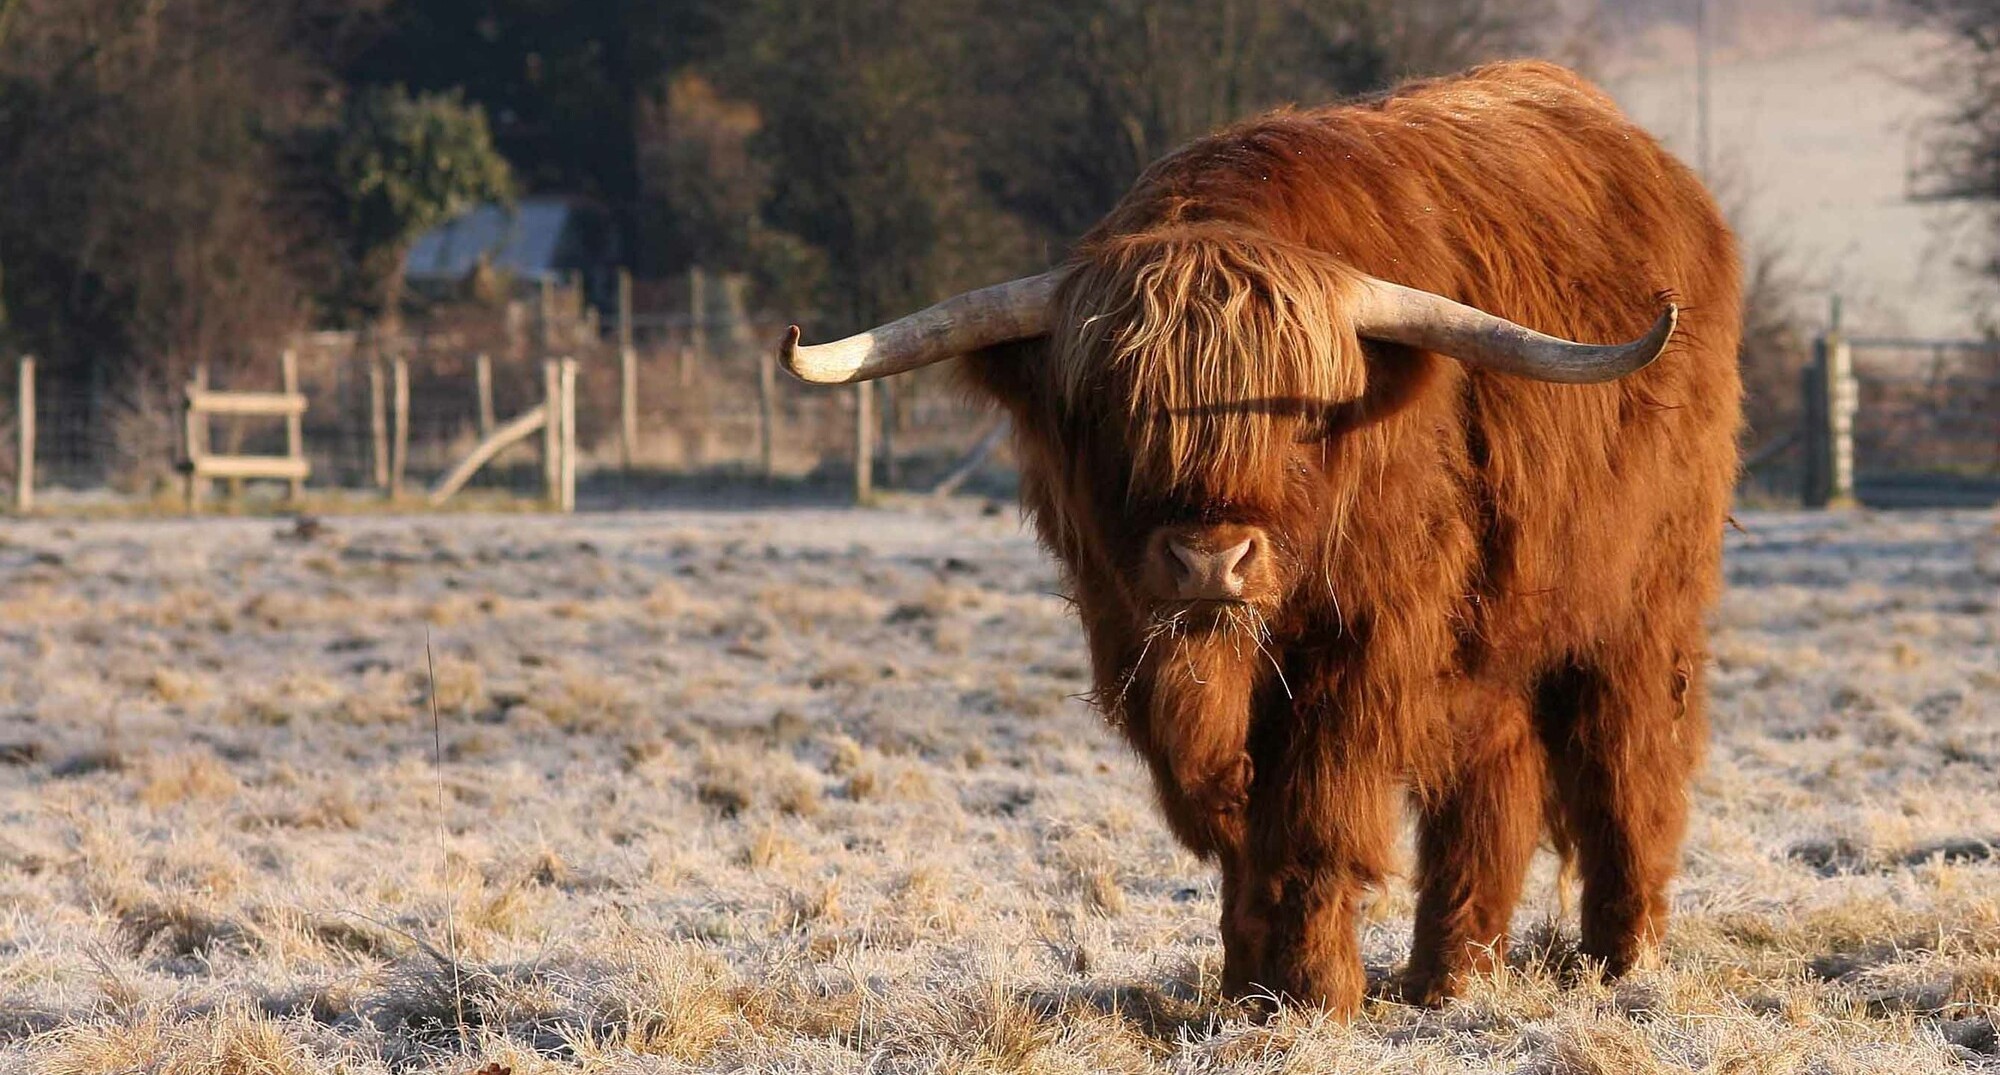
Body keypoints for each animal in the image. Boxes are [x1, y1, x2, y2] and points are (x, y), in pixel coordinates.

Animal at [776, 60, 1736, 1011]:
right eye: (1112, 414)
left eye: (1302, 416)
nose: (1211, 560)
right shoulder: (1132, 635)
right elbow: (1234, 824)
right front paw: (1245, 986)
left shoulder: (1368, 645)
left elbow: (1314, 814)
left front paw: (1315, 990)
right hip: (1494, 638)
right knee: (1494, 777)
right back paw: (1450, 975)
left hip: (1642, 607)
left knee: (1630, 765)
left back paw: (1622, 956)